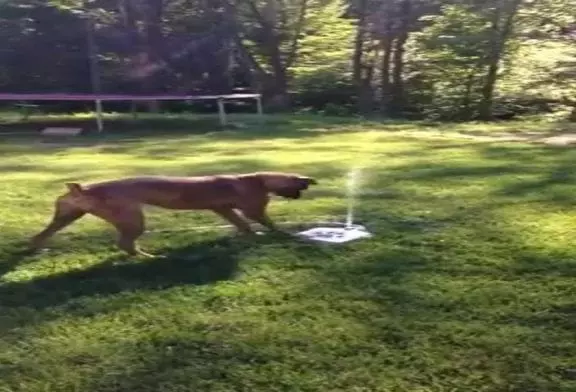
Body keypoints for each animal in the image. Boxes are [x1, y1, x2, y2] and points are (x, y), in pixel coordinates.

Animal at [29, 172, 318, 258]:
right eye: (299, 186)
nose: (301, 193)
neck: (259, 179)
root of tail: (83, 189)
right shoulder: (253, 209)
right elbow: (267, 222)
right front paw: (282, 234)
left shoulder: (224, 208)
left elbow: (242, 224)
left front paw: (248, 236)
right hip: (133, 220)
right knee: (125, 244)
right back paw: (147, 257)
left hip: (66, 215)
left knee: (40, 235)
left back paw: (37, 248)